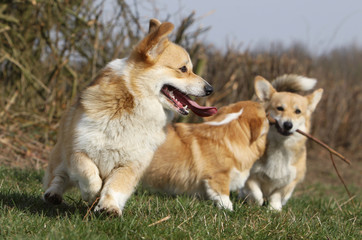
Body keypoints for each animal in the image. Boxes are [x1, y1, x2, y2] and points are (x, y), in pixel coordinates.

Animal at [43, 19, 216, 216]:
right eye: (183, 69)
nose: (210, 89)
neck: (134, 99)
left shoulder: (131, 164)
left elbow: (116, 186)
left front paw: (109, 207)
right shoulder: (78, 149)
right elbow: (89, 174)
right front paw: (91, 193)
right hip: (60, 153)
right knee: (59, 175)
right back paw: (53, 194)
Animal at [242, 74, 324, 210]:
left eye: (298, 111)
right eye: (279, 108)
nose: (288, 125)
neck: (279, 146)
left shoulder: (289, 181)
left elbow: (277, 194)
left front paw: (274, 209)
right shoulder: (251, 175)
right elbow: (255, 192)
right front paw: (256, 202)